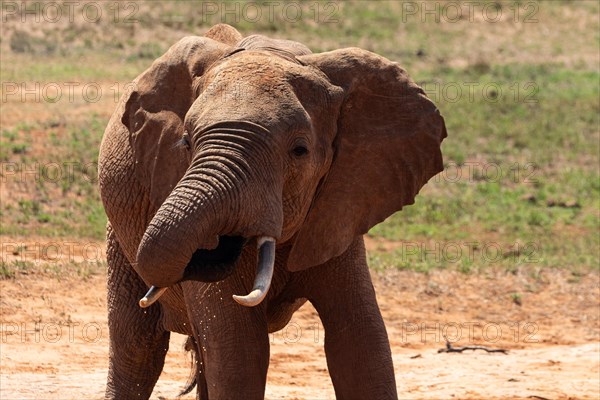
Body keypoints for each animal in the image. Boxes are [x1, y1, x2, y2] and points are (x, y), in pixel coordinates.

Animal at [98, 23, 446, 398]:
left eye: (299, 150)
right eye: (186, 143)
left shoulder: (340, 204)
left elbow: (361, 339)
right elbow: (239, 349)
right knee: (137, 347)